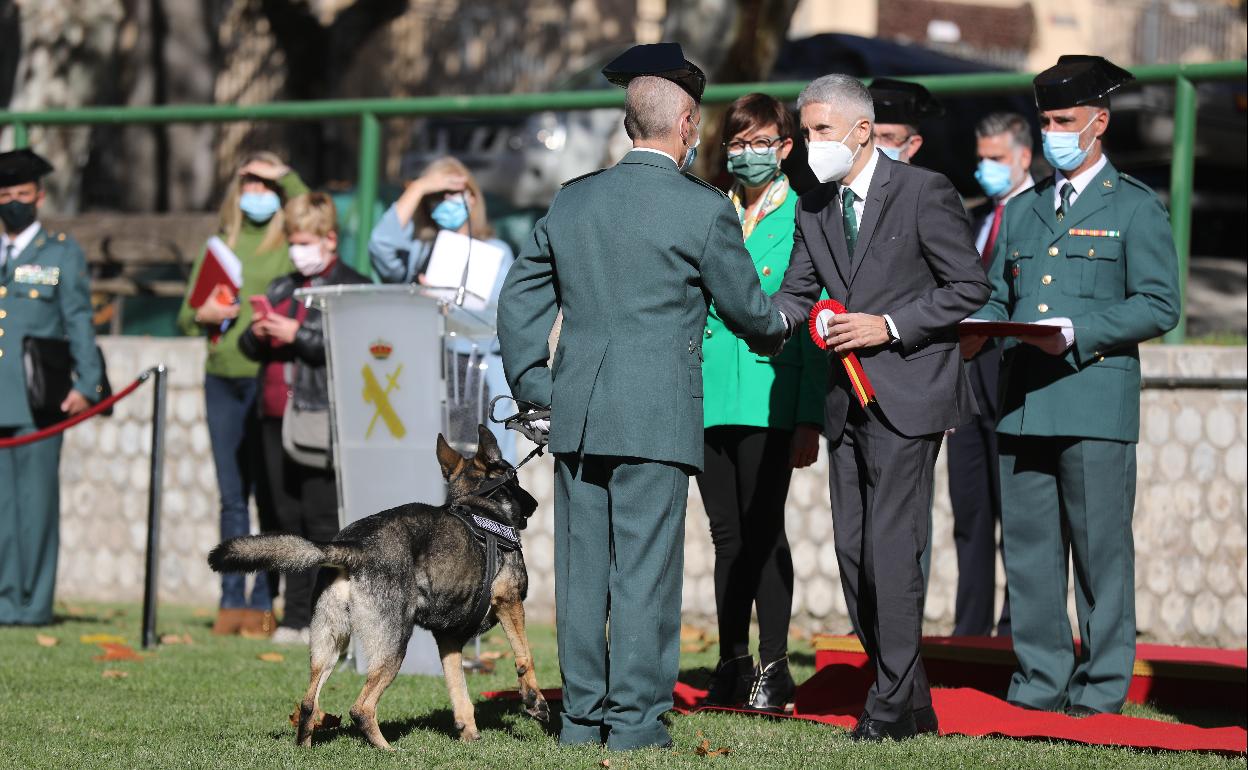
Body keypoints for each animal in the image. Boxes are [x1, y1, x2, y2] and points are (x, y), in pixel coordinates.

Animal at [207, 424, 549, 748]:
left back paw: (306, 749)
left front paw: (469, 735)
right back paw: (388, 750)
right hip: (393, 645)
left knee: (308, 703)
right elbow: (525, 655)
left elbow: (459, 690)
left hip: (329, 644)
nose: (534, 504)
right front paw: (534, 699)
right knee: (361, 708)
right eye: (515, 481)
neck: (479, 506)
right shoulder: (509, 600)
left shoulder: (449, 639)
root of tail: (354, 547)